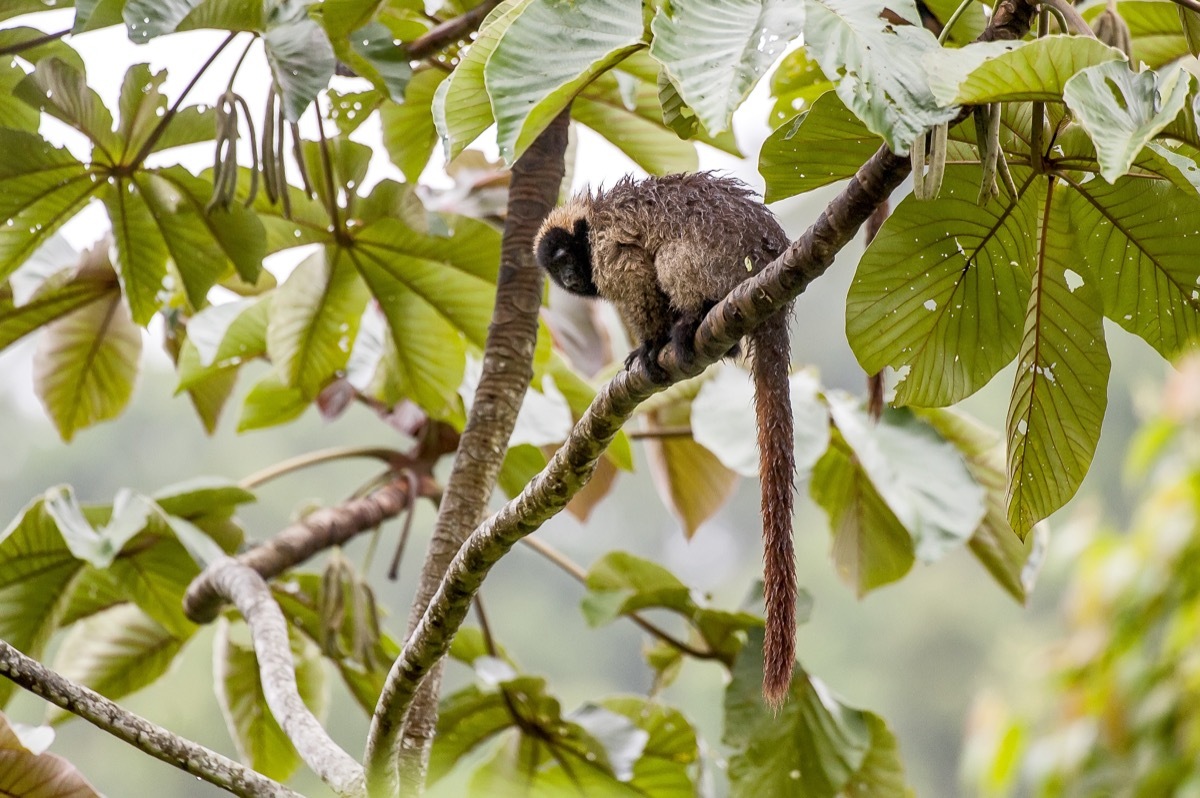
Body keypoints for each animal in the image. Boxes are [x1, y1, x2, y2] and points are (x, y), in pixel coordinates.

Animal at [533, 172, 797, 707]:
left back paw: (693, 318)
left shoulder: (608, 246)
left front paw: (652, 344)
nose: (568, 277)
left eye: (569, 258)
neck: (589, 221)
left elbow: (639, 272)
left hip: (720, 265)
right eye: (557, 268)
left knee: (674, 260)